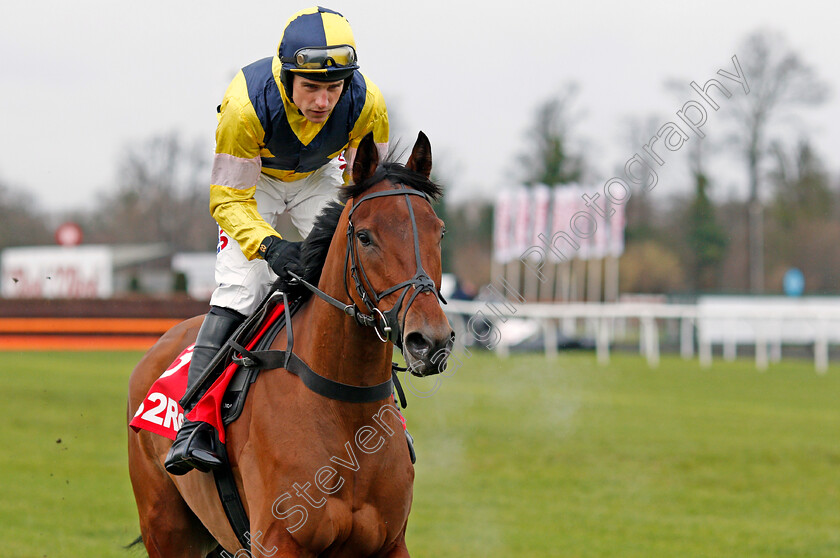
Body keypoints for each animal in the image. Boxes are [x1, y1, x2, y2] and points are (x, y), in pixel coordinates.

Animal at [126, 132, 452, 558]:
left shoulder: (390, 543)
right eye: (365, 237)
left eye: (439, 232)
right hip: (164, 527)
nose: (429, 340)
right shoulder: (279, 541)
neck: (345, 407)